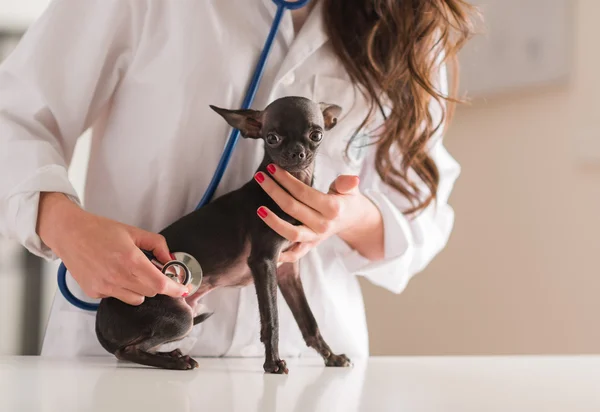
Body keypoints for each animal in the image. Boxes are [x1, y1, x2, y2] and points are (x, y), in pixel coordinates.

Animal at [95, 96, 352, 374]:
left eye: (316, 135)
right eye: (272, 138)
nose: (297, 153)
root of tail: (100, 325)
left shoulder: (287, 271)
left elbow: (308, 321)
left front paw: (330, 356)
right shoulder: (263, 262)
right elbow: (271, 319)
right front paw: (272, 362)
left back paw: (172, 354)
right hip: (181, 316)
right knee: (126, 351)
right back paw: (176, 362)